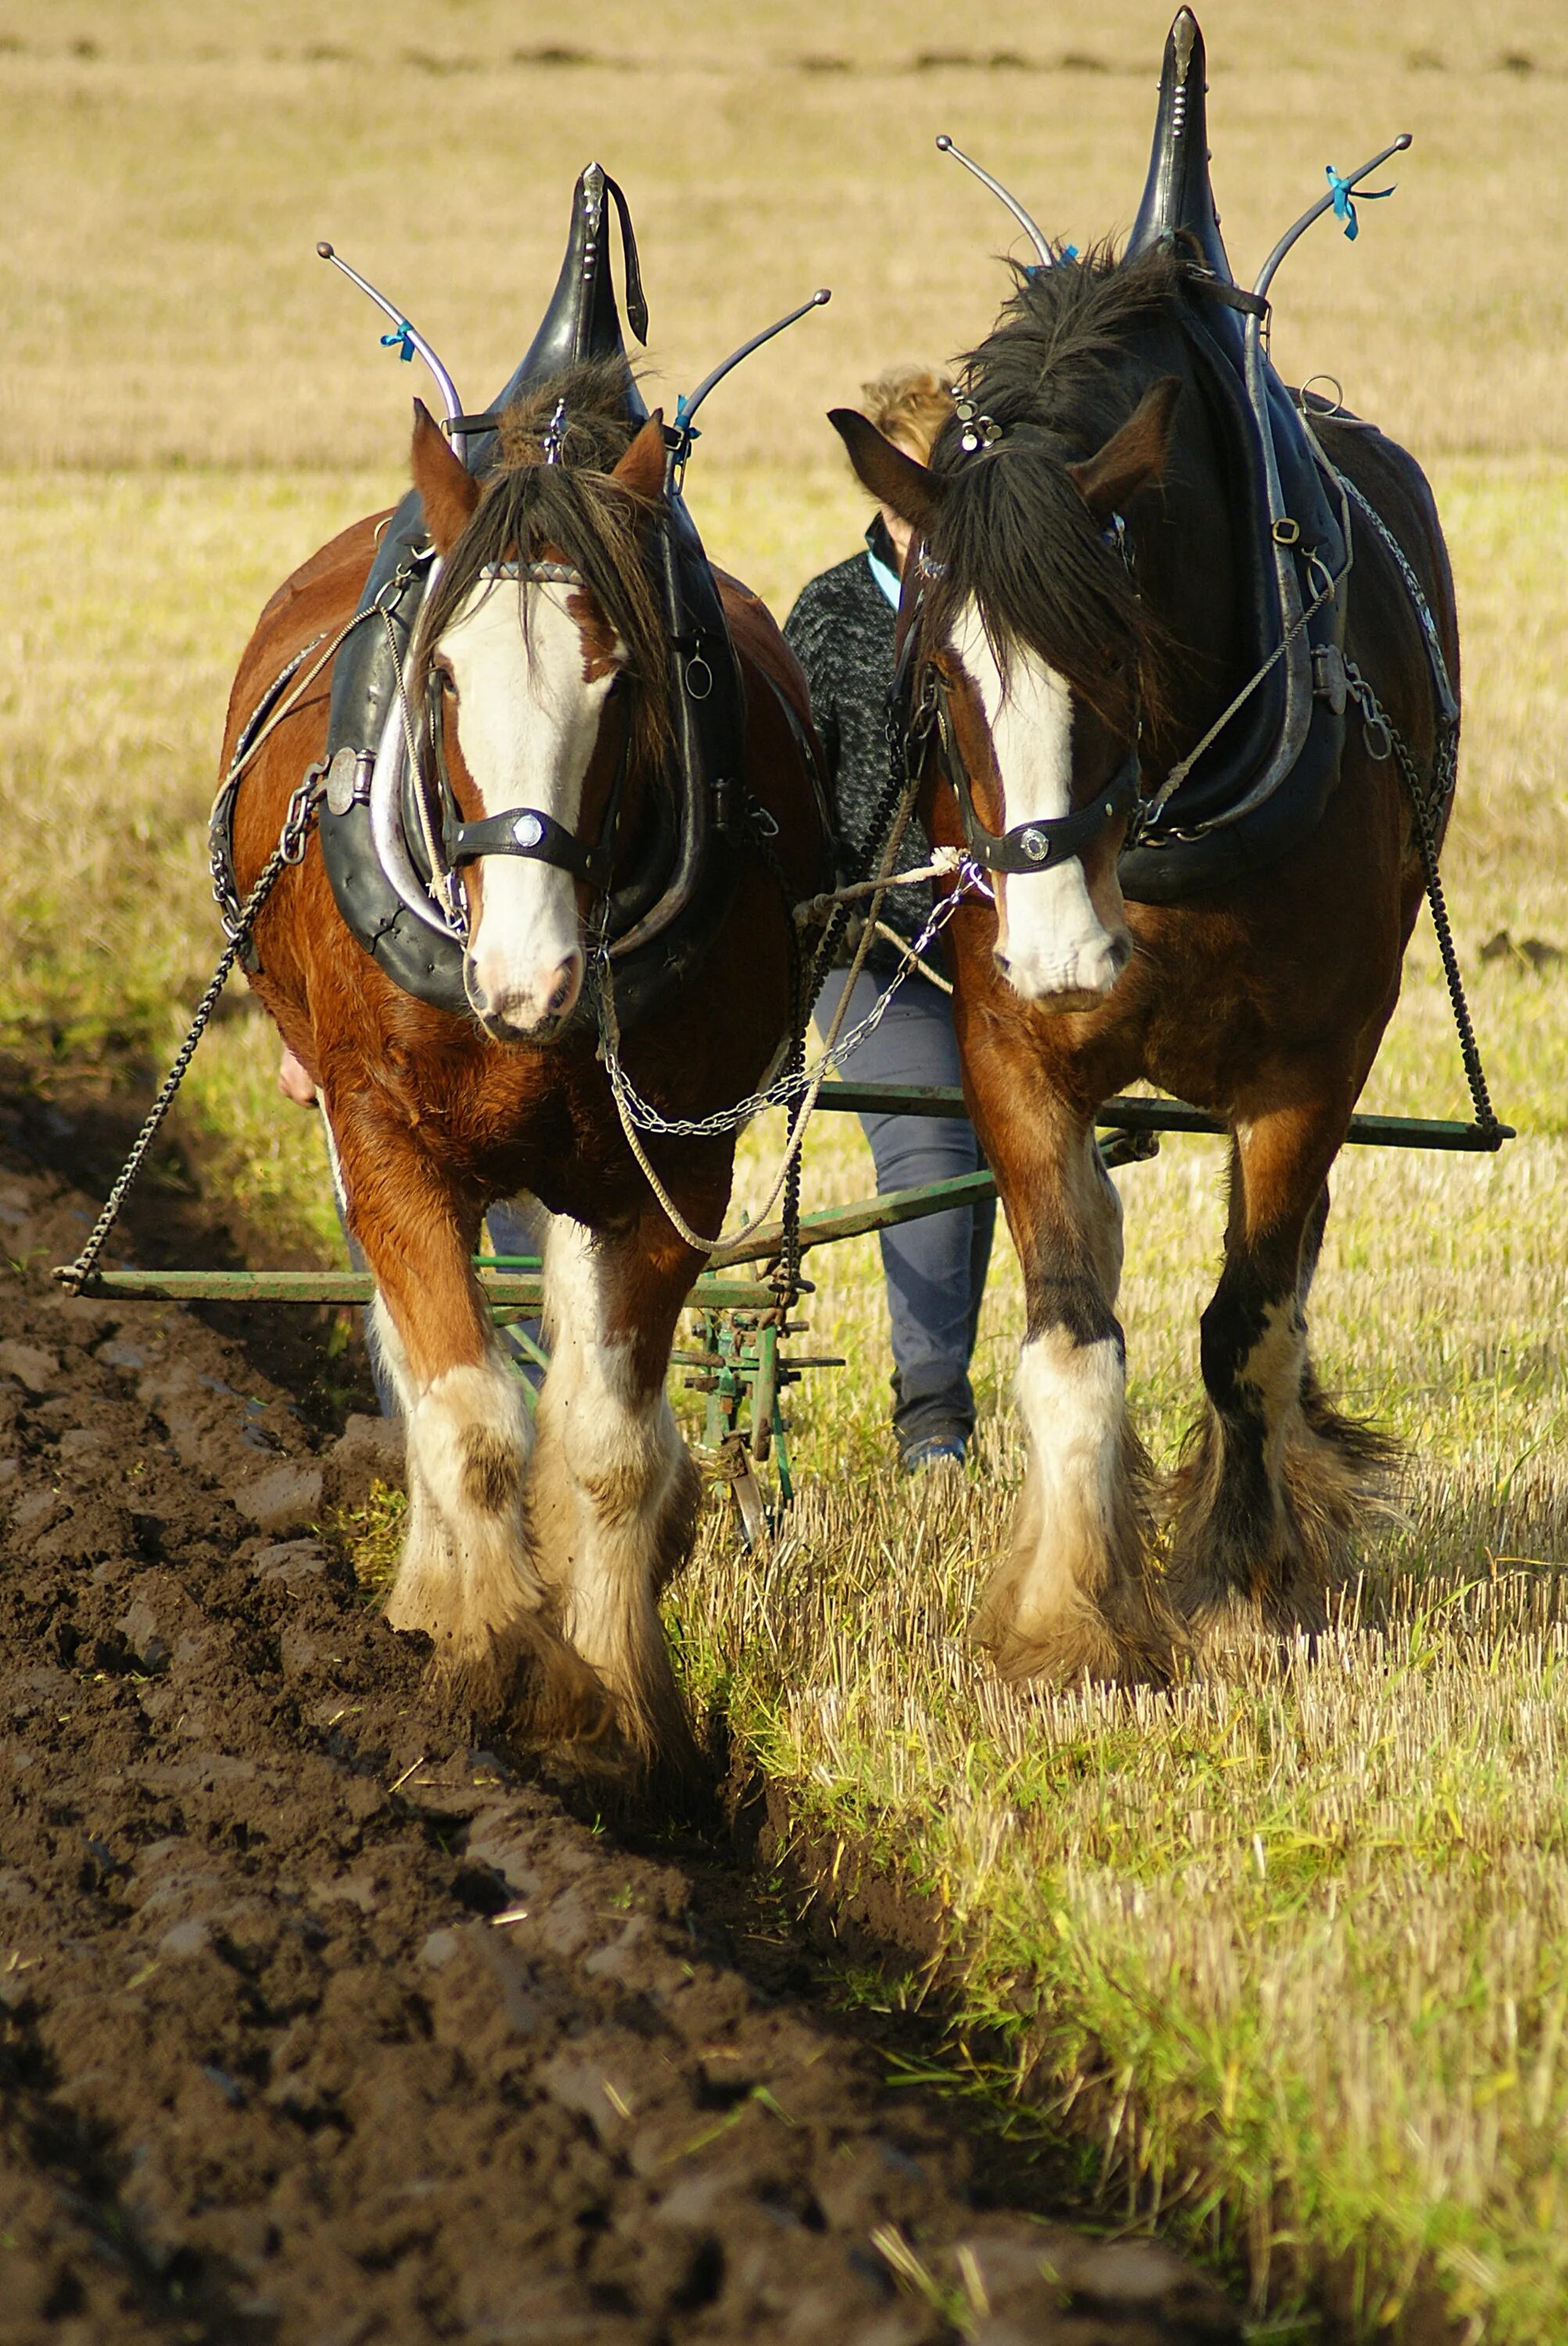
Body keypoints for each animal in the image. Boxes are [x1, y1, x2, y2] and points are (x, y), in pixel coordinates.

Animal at [226, 375, 831, 1783]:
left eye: (621, 679)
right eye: (443, 675)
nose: (527, 979)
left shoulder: (674, 1168)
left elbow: (607, 1442)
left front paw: (614, 1697)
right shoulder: (385, 1139)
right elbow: (468, 1419)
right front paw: (494, 1651)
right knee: (419, 1363)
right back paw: (434, 1593)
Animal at [831, 238, 1455, 1680]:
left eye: (1117, 648)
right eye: (936, 673)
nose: (1064, 949)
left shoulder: (1310, 1066)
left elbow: (1246, 1323)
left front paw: (1242, 1581)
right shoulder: (1009, 1050)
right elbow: (1071, 1333)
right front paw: (1069, 1615)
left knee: (1279, 1276)